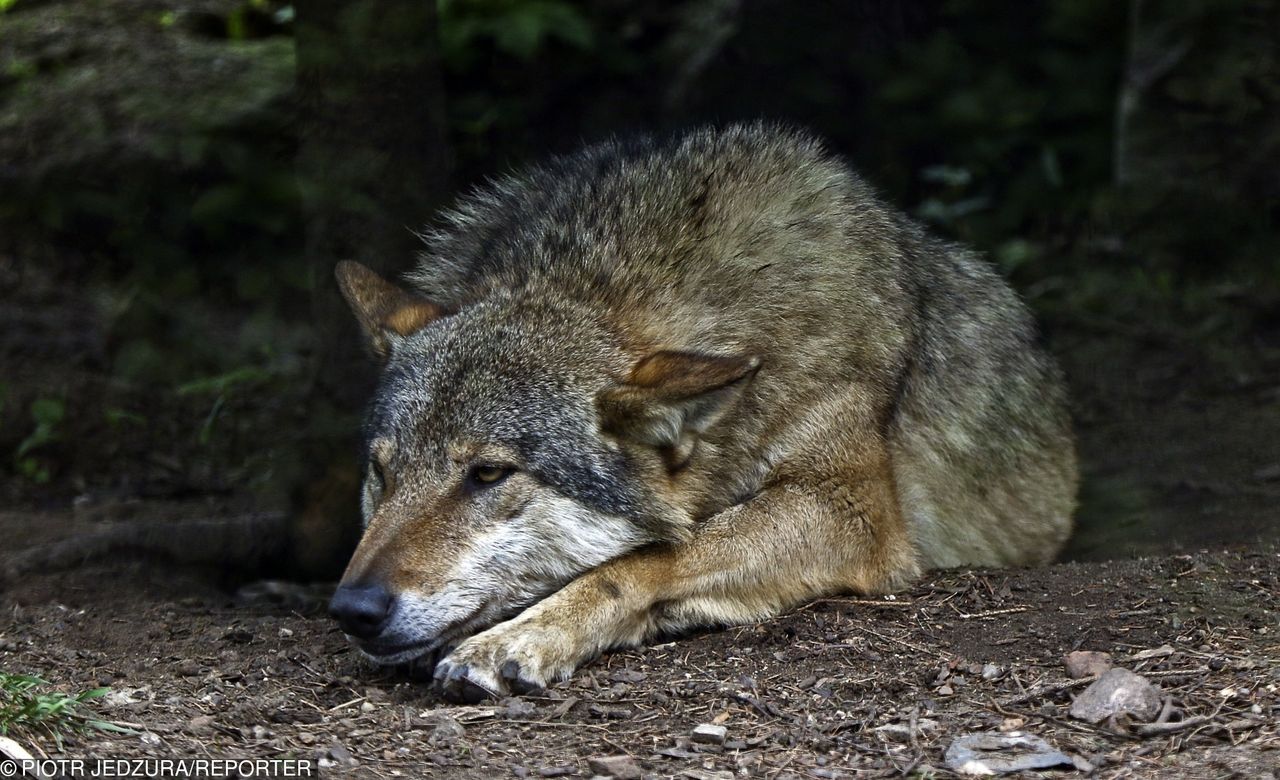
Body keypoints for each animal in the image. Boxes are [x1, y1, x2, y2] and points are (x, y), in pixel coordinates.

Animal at [325, 121, 1075, 701]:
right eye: (382, 475)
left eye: (487, 475)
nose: (352, 610)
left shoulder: (851, 512)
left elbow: (647, 560)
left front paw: (523, 636)